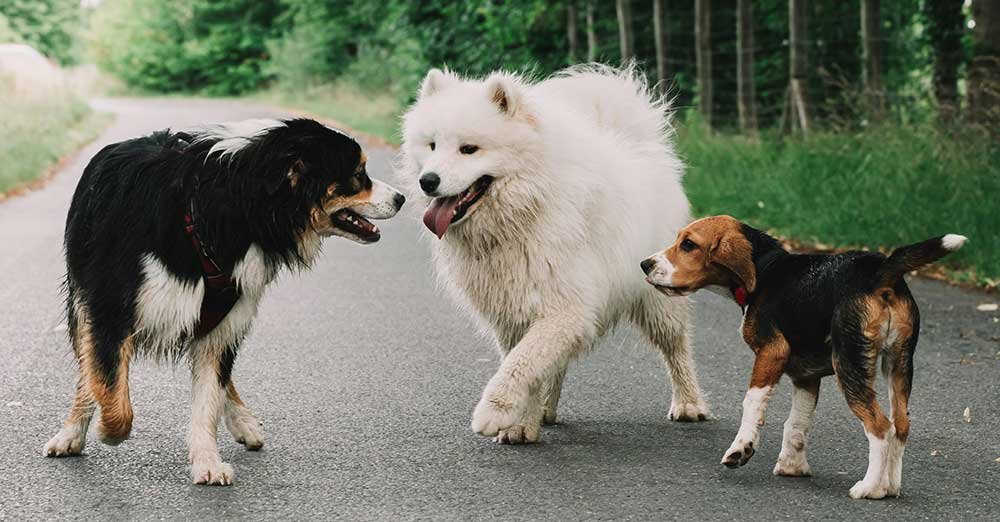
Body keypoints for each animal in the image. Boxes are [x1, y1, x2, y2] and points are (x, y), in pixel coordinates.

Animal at [43, 118, 402, 484]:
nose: (401, 198)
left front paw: (207, 462)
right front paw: (107, 429)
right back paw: (70, 434)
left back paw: (244, 423)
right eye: (358, 173)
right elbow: (111, 392)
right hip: (83, 299)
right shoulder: (110, 311)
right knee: (89, 369)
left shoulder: (224, 323)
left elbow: (208, 401)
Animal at [398, 63, 712, 440]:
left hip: (658, 301)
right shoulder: (513, 311)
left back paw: (689, 404)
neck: (526, 209)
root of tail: (641, 145)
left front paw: (496, 411)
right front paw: (521, 423)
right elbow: (529, 362)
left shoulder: (565, 307)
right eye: (431, 145)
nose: (427, 181)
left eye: (468, 149)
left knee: (676, 347)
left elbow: (522, 362)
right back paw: (547, 409)